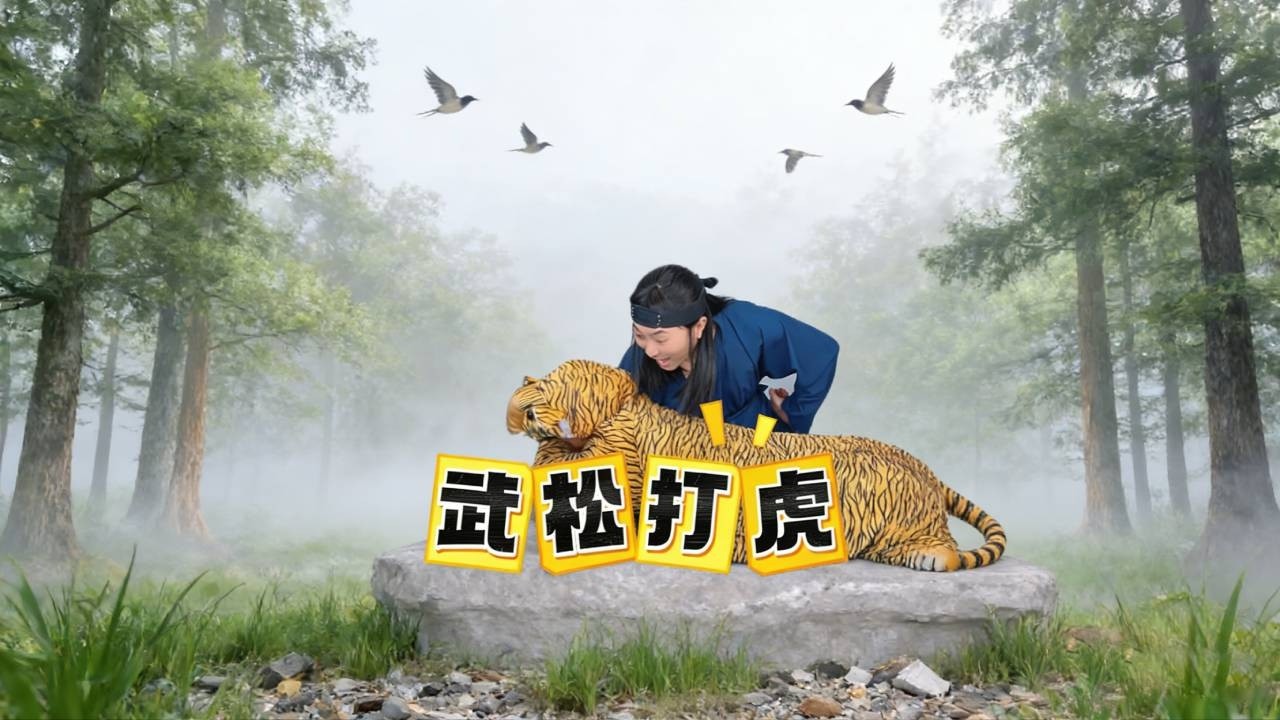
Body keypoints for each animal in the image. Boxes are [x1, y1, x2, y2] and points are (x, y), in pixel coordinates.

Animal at [506, 359, 1007, 571]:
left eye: (541, 387)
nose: (515, 414)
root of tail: (923, 466)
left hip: (904, 513)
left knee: (947, 548)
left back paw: (933, 559)